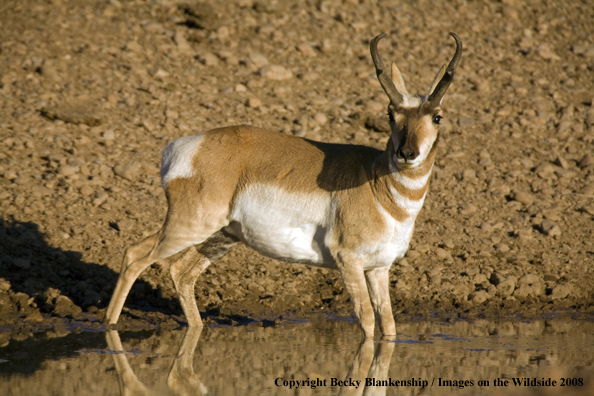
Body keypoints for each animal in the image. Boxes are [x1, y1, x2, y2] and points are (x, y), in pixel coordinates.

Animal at [104, 32, 460, 338]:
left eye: (437, 116)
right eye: (390, 113)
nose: (407, 154)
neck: (379, 185)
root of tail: (185, 145)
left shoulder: (379, 268)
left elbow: (388, 324)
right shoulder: (349, 261)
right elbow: (367, 321)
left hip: (221, 237)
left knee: (179, 271)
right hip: (189, 226)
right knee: (136, 256)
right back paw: (108, 326)